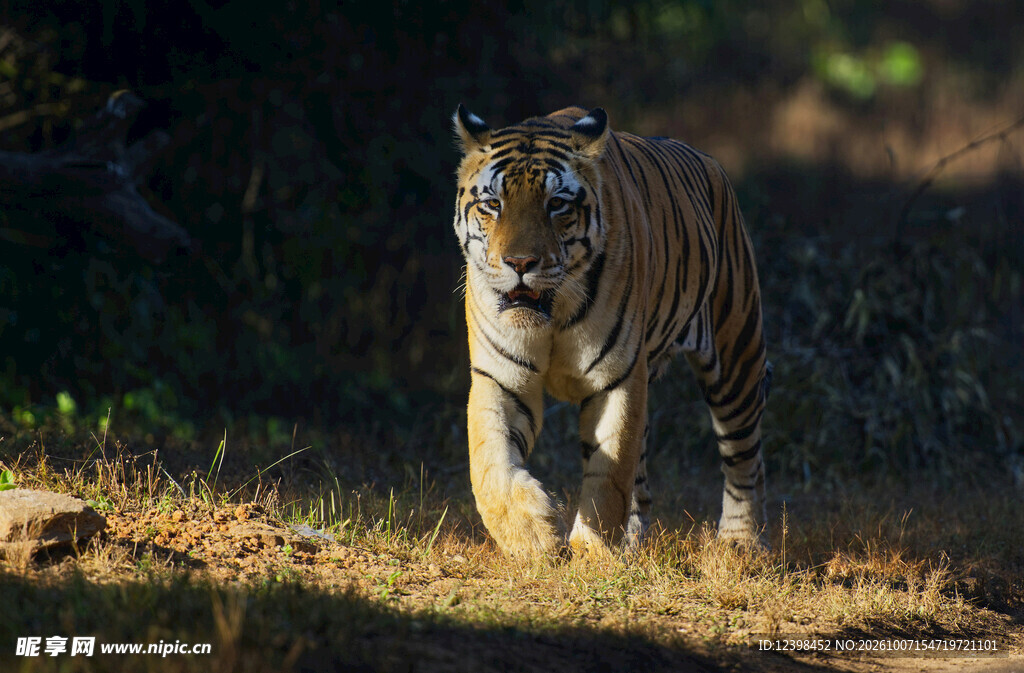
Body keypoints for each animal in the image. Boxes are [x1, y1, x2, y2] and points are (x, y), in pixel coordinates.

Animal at [452, 105, 771, 558]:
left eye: (557, 204)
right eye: (493, 204)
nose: (520, 262)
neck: (553, 314)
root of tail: (710, 162)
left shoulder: (616, 379)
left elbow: (609, 474)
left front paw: (592, 553)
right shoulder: (500, 376)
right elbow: (489, 462)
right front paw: (533, 534)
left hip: (736, 354)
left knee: (745, 460)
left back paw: (740, 544)